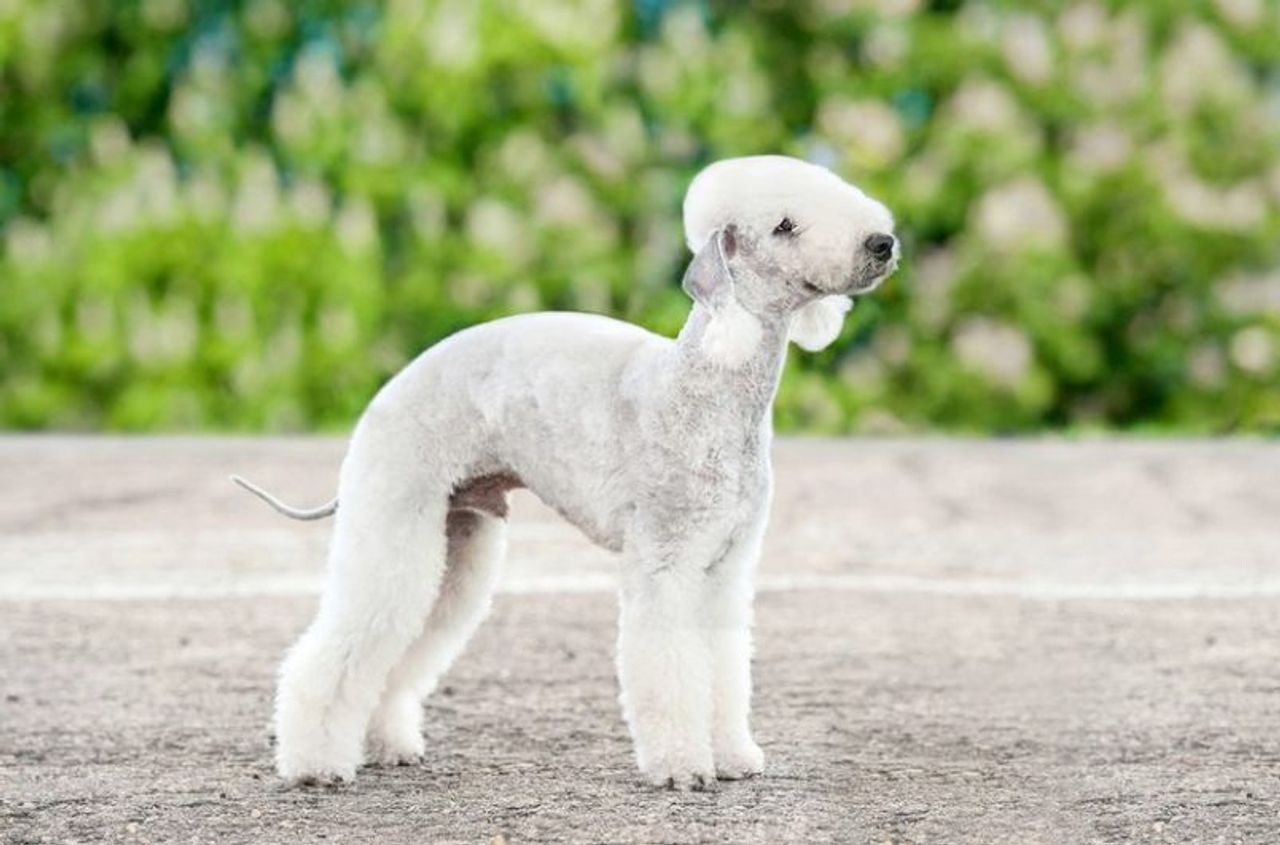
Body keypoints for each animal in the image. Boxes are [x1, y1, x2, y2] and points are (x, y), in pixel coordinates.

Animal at [240, 153, 901, 793]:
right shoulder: (665, 563)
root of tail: (386, 394)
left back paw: (385, 744)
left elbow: (723, 668)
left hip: (457, 539)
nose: (883, 243)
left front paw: (734, 756)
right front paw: (682, 767)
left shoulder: (724, 568)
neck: (708, 386)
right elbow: (668, 668)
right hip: (394, 521)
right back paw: (315, 764)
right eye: (784, 226)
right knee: (341, 645)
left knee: (407, 647)